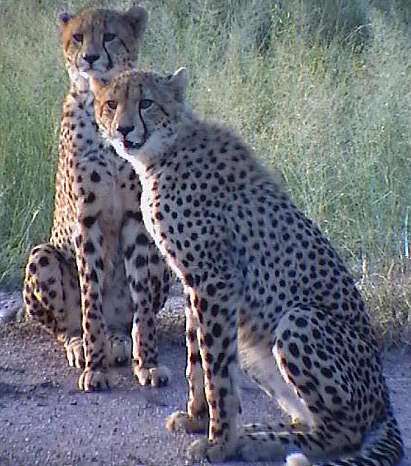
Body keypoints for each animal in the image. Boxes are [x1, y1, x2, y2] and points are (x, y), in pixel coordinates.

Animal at [22, 8, 171, 394]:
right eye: (77, 36)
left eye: (109, 36)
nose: (89, 57)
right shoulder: (85, 219)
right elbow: (91, 297)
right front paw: (95, 367)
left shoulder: (136, 218)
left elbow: (142, 302)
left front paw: (147, 363)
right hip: (43, 255)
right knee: (64, 326)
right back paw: (81, 344)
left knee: (124, 317)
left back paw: (119, 339)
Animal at [91, 70, 404, 466]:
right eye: (111, 103)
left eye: (146, 102)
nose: (124, 129)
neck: (162, 153)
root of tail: (385, 399)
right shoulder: (194, 284)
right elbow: (197, 359)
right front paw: (197, 420)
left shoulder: (215, 281)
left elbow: (218, 372)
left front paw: (219, 443)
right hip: (257, 347)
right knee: (312, 422)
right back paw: (259, 434)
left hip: (297, 320)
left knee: (341, 433)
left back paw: (253, 442)